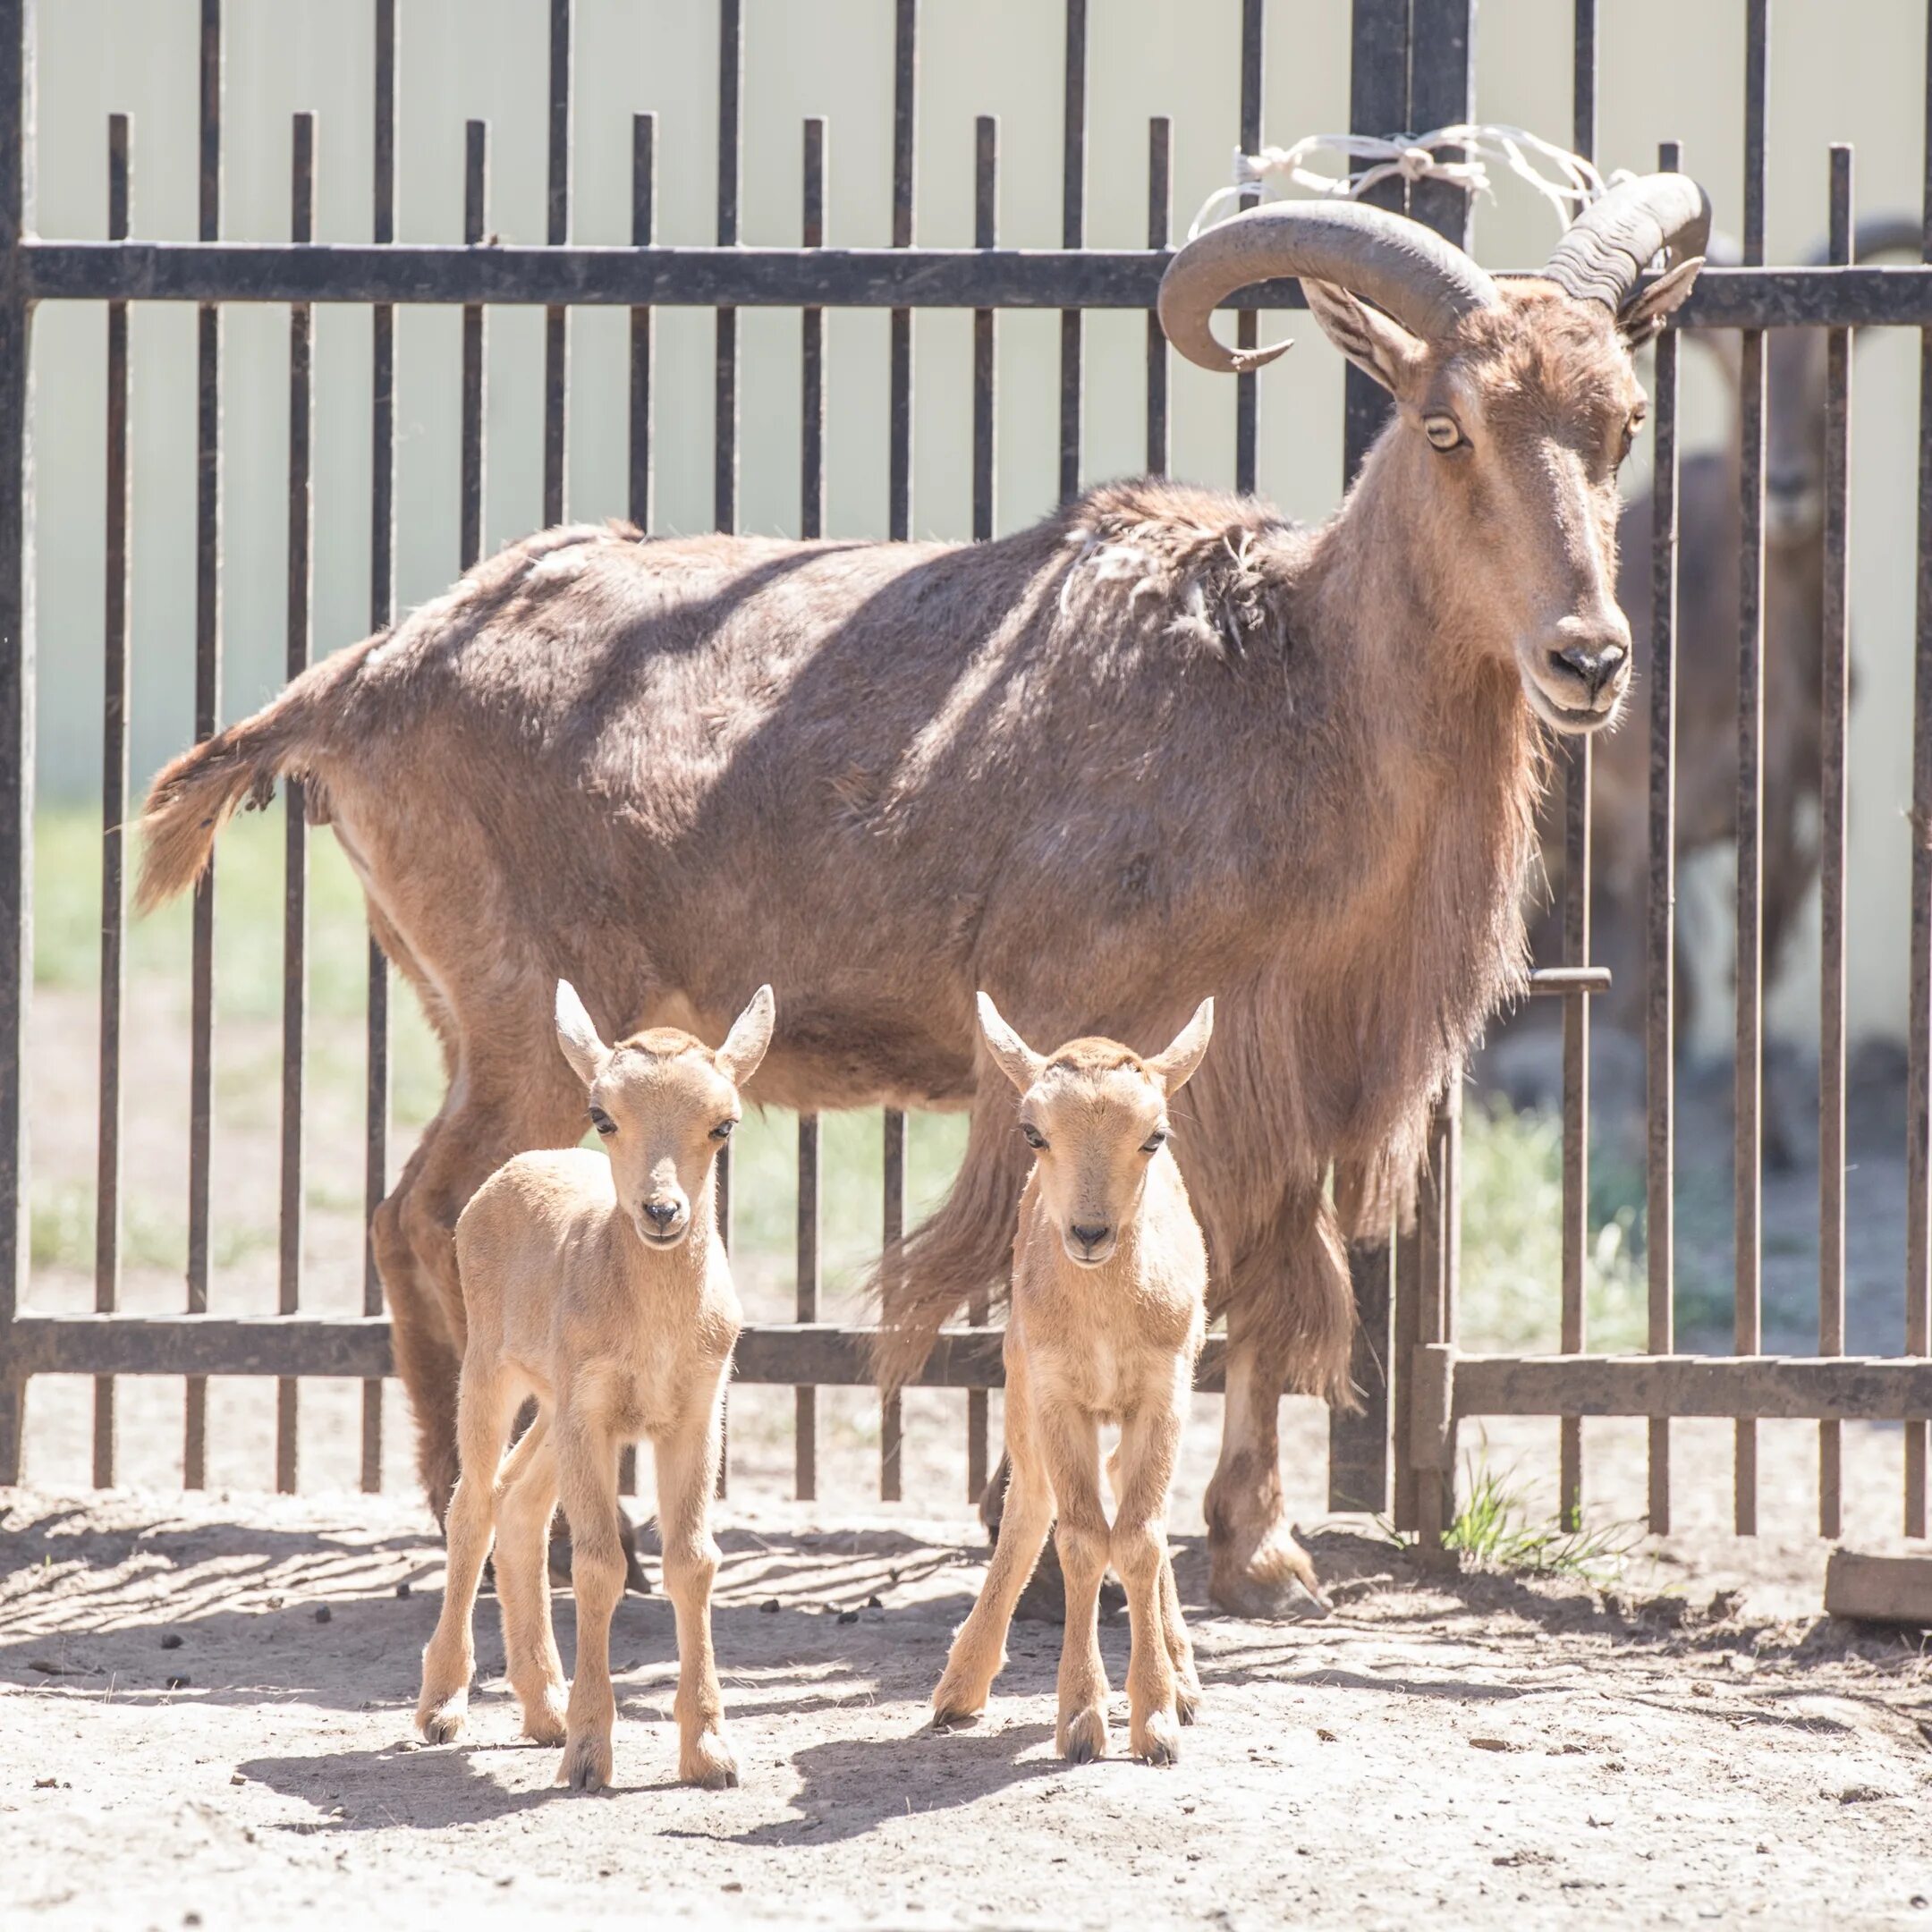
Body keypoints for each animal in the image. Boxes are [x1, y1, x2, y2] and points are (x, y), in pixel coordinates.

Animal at [136, 184, 1707, 1631]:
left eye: (1622, 423)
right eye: (1447, 427)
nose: (1589, 659)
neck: (1289, 686)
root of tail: (361, 680)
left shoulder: (1280, 1074)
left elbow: (1256, 1283)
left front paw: (1262, 1556)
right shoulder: (1097, 1038)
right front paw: (1065, 1549)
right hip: (526, 1024)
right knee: (426, 1216)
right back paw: (549, 1529)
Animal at [415, 981, 768, 1792]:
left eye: (723, 1123)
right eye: (603, 1115)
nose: (661, 1210)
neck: (655, 1333)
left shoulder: (693, 1410)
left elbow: (693, 1559)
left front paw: (711, 1754)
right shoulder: (593, 1410)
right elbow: (600, 1565)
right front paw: (587, 1756)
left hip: (555, 1404)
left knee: (519, 1501)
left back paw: (541, 1708)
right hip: (493, 1369)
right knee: (472, 1503)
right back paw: (442, 1706)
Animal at [931, 996, 1205, 1769]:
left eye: (1154, 1136)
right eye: (1034, 1132)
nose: (1089, 1232)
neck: (1106, 1326)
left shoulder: (1164, 1390)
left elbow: (1139, 1536)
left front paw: (1157, 1720)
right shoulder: (1057, 1393)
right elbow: (1082, 1535)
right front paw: (1082, 1719)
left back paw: (1186, 1679)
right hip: (1020, 1381)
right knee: (1029, 1501)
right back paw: (960, 1684)